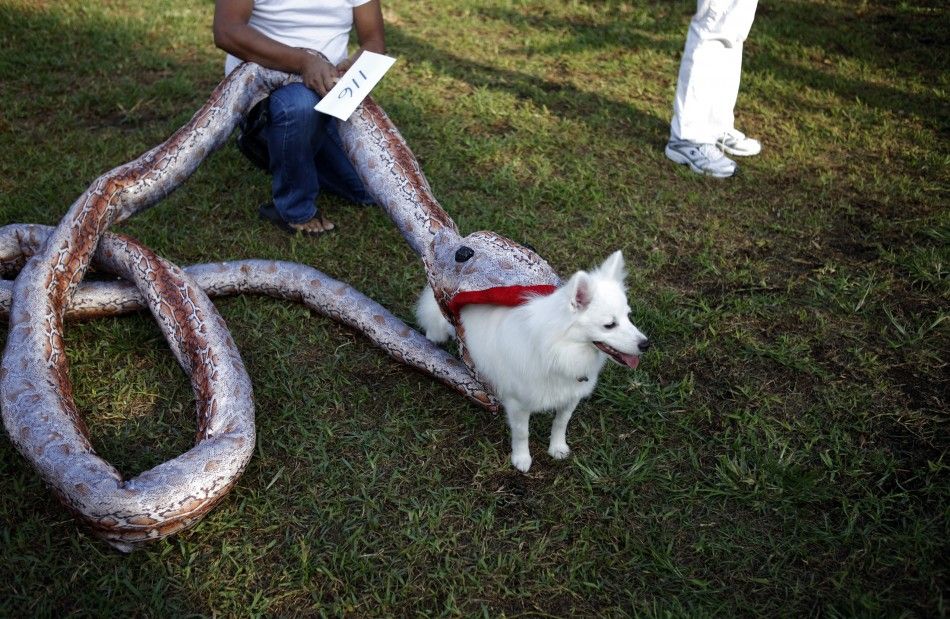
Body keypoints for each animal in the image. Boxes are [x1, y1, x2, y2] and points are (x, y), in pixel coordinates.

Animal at [418, 249, 652, 472]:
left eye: (628, 317)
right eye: (609, 325)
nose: (646, 344)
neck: (558, 351)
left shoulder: (570, 397)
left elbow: (561, 423)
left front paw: (557, 447)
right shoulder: (518, 405)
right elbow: (522, 434)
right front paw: (521, 459)